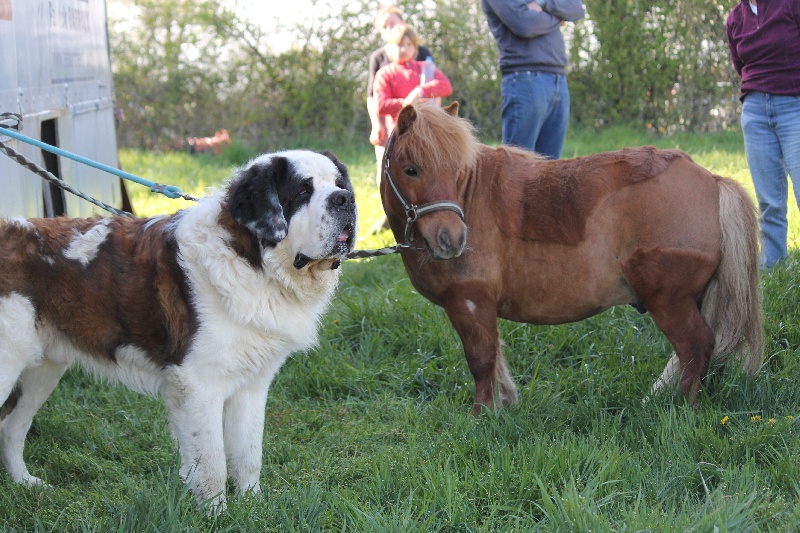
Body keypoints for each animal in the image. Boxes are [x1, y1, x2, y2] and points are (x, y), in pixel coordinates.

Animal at [0, 150, 356, 508]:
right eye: (302, 191)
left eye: (339, 184)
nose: (345, 199)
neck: (252, 261)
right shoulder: (198, 385)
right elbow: (212, 463)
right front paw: (215, 513)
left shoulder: (252, 385)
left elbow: (247, 453)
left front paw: (252, 505)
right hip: (10, 364)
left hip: (43, 370)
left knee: (12, 427)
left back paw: (25, 483)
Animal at [382, 104, 764, 412]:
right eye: (411, 169)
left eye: (458, 171)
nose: (452, 240)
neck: (471, 197)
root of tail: (712, 181)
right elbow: (495, 362)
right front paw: (502, 407)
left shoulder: (470, 303)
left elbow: (481, 360)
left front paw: (482, 416)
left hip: (669, 300)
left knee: (696, 346)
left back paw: (682, 407)